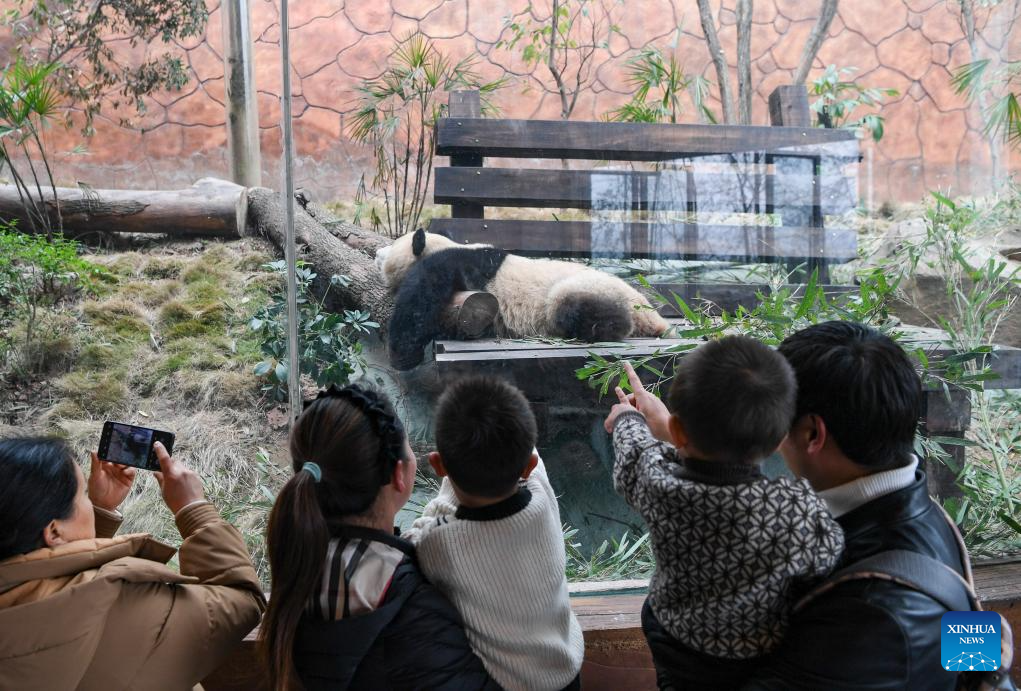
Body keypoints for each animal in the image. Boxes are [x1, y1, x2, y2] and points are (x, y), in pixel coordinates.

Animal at [375, 228, 669, 369]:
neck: (442, 244)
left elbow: (422, 294)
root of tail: (653, 318)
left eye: (389, 248)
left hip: (588, 289)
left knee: (571, 307)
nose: (377, 252)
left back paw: (594, 329)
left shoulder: (460, 264)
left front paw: (402, 355)